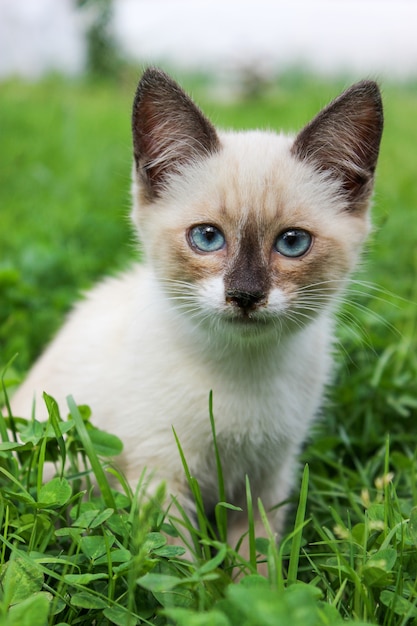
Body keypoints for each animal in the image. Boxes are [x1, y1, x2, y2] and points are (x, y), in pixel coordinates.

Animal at [10, 67, 380, 556]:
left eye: (292, 243)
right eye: (207, 237)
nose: (245, 295)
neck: (242, 372)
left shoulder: (267, 483)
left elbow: (258, 563)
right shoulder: (160, 476)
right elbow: (176, 565)